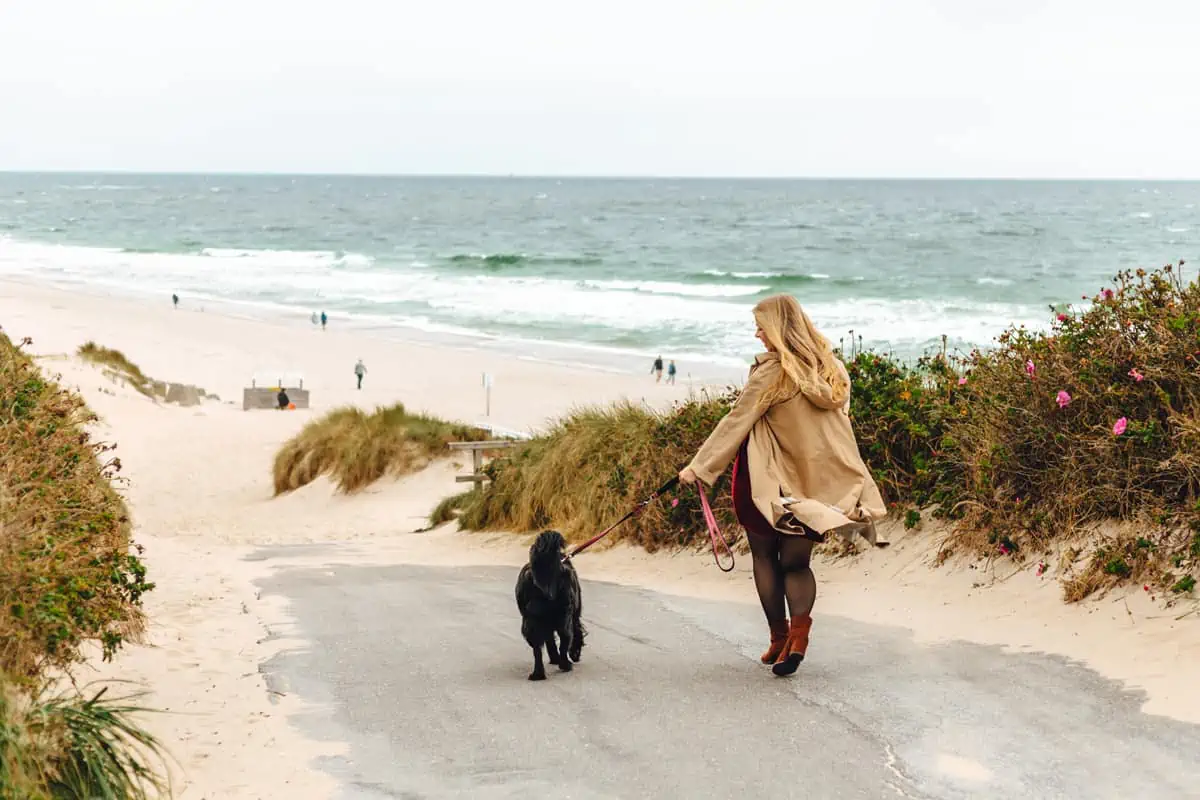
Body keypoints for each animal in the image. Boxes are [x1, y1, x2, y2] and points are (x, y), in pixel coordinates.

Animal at [513, 532, 583, 681]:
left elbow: (549, 642)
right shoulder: (574, 616)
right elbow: (576, 634)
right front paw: (574, 654)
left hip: (531, 623)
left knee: (537, 650)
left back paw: (538, 674)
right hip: (564, 618)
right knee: (564, 642)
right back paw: (565, 665)